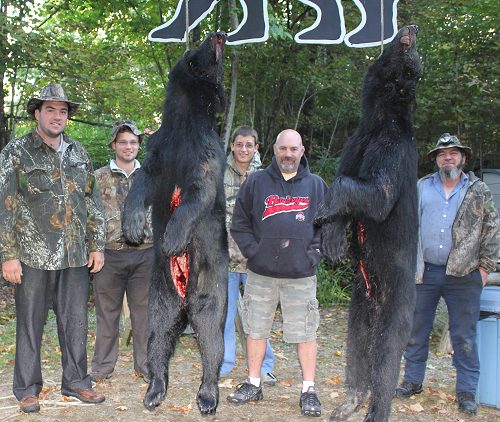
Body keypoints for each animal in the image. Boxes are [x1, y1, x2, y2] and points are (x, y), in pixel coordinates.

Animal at [123, 33, 229, 416]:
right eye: (200, 43)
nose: (220, 34)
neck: (185, 120)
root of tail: (184, 306)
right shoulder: (160, 147)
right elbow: (142, 181)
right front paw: (134, 225)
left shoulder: (205, 149)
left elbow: (199, 192)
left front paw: (170, 235)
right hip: (160, 298)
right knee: (157, 340)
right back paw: (154, 390)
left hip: (210, 288)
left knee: (211, 338)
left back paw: (208, 396)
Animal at [316, 24, 422, 420]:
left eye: (416, 60)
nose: (411, 27)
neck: (379, 120)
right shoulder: (355, 143)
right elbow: (347, 179)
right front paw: (333, 238)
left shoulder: (392, 151)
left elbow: (375, 194)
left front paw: (325, 209)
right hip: (359, 302)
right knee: (358, 348)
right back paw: (349, 401)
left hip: (397, 300)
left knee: (386, 356)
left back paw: (376, 409)